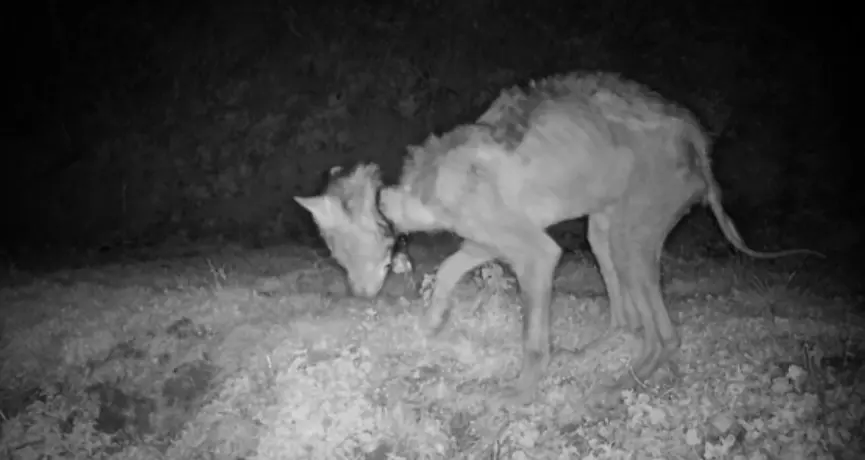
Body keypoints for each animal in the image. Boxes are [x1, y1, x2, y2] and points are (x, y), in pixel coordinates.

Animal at [295, 71, 823, 403]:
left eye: (337, 248)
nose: (358, 294)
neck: (426, 186)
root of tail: (698, 140)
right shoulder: (491, 241)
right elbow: (446, 270)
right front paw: (433, 323)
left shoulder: (537, 252)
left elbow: (531, 338)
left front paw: (520, 393)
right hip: (602, 230)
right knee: (628, 319)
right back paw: (598, 352)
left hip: (631, 235)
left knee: (666, 335)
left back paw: (624, 383)